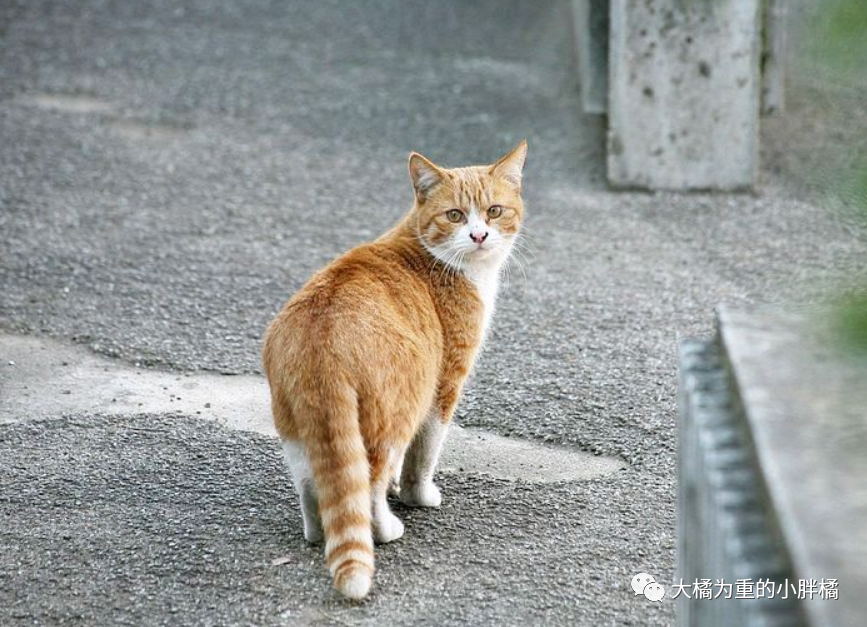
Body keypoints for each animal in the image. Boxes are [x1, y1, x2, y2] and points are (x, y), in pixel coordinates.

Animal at [262, 140, 524, 600]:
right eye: (455, 215)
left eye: (494, 211)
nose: (479, 235)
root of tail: (322, 338)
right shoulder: (443, 384)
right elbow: (423, 454)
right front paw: (418, 494)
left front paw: (401, 490)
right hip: (394, 413)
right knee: (367, 487)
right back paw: (385, 528)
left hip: (295, 426)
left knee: (316, 485)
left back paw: (317, 531)